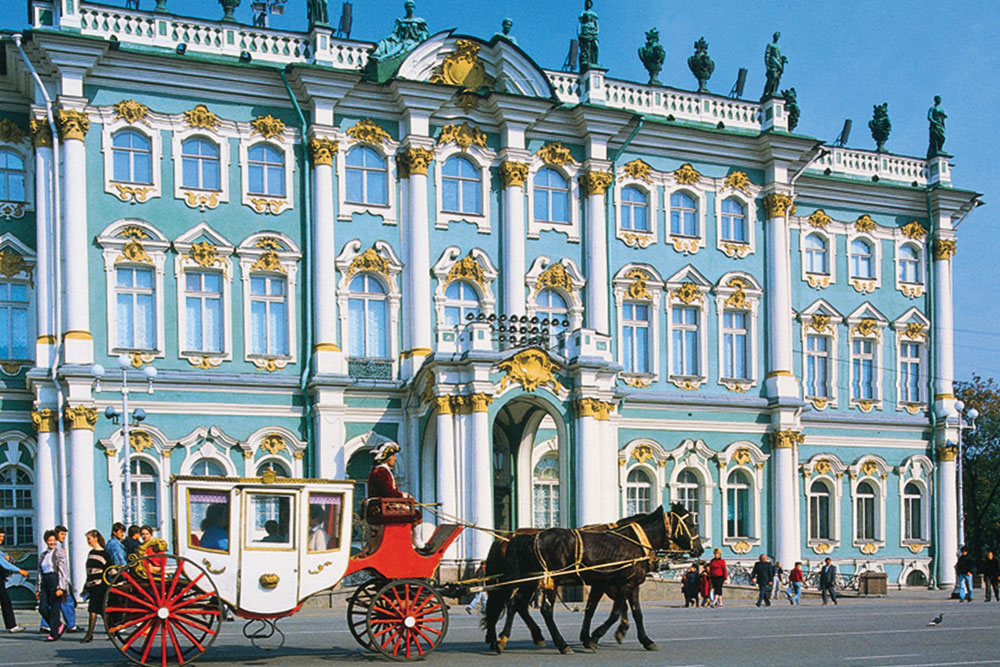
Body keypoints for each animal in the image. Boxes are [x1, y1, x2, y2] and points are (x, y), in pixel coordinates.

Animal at [484, 506, 704, 652]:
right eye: (690, 523)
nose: (700, 549)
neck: (635, 543)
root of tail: (527, 537)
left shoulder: (618, 585)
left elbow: (631, 612)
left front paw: (645, 640)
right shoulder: (623, 584)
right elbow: (616, 612)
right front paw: (595, 637)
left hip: (530, 581)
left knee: (515, 604)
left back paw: (503, 640)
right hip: (549, 582)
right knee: (543, 609)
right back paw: (560, 644)